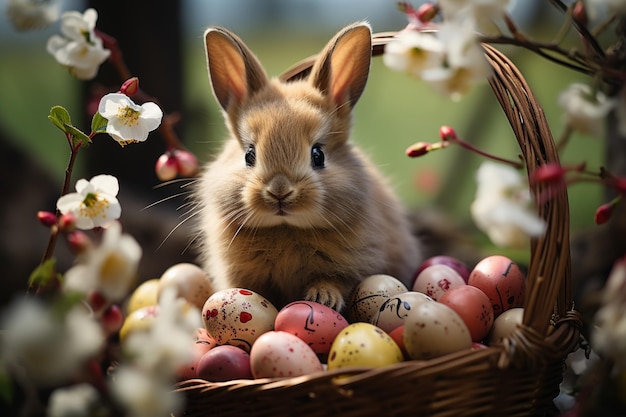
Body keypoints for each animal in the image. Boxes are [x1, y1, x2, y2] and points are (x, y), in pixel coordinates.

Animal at [193, 21, 422, 310]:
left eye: (318, 155)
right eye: (249, 155)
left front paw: (323, 298)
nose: (279, 191)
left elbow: (334, 281)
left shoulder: (352, 267)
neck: (286, 228)